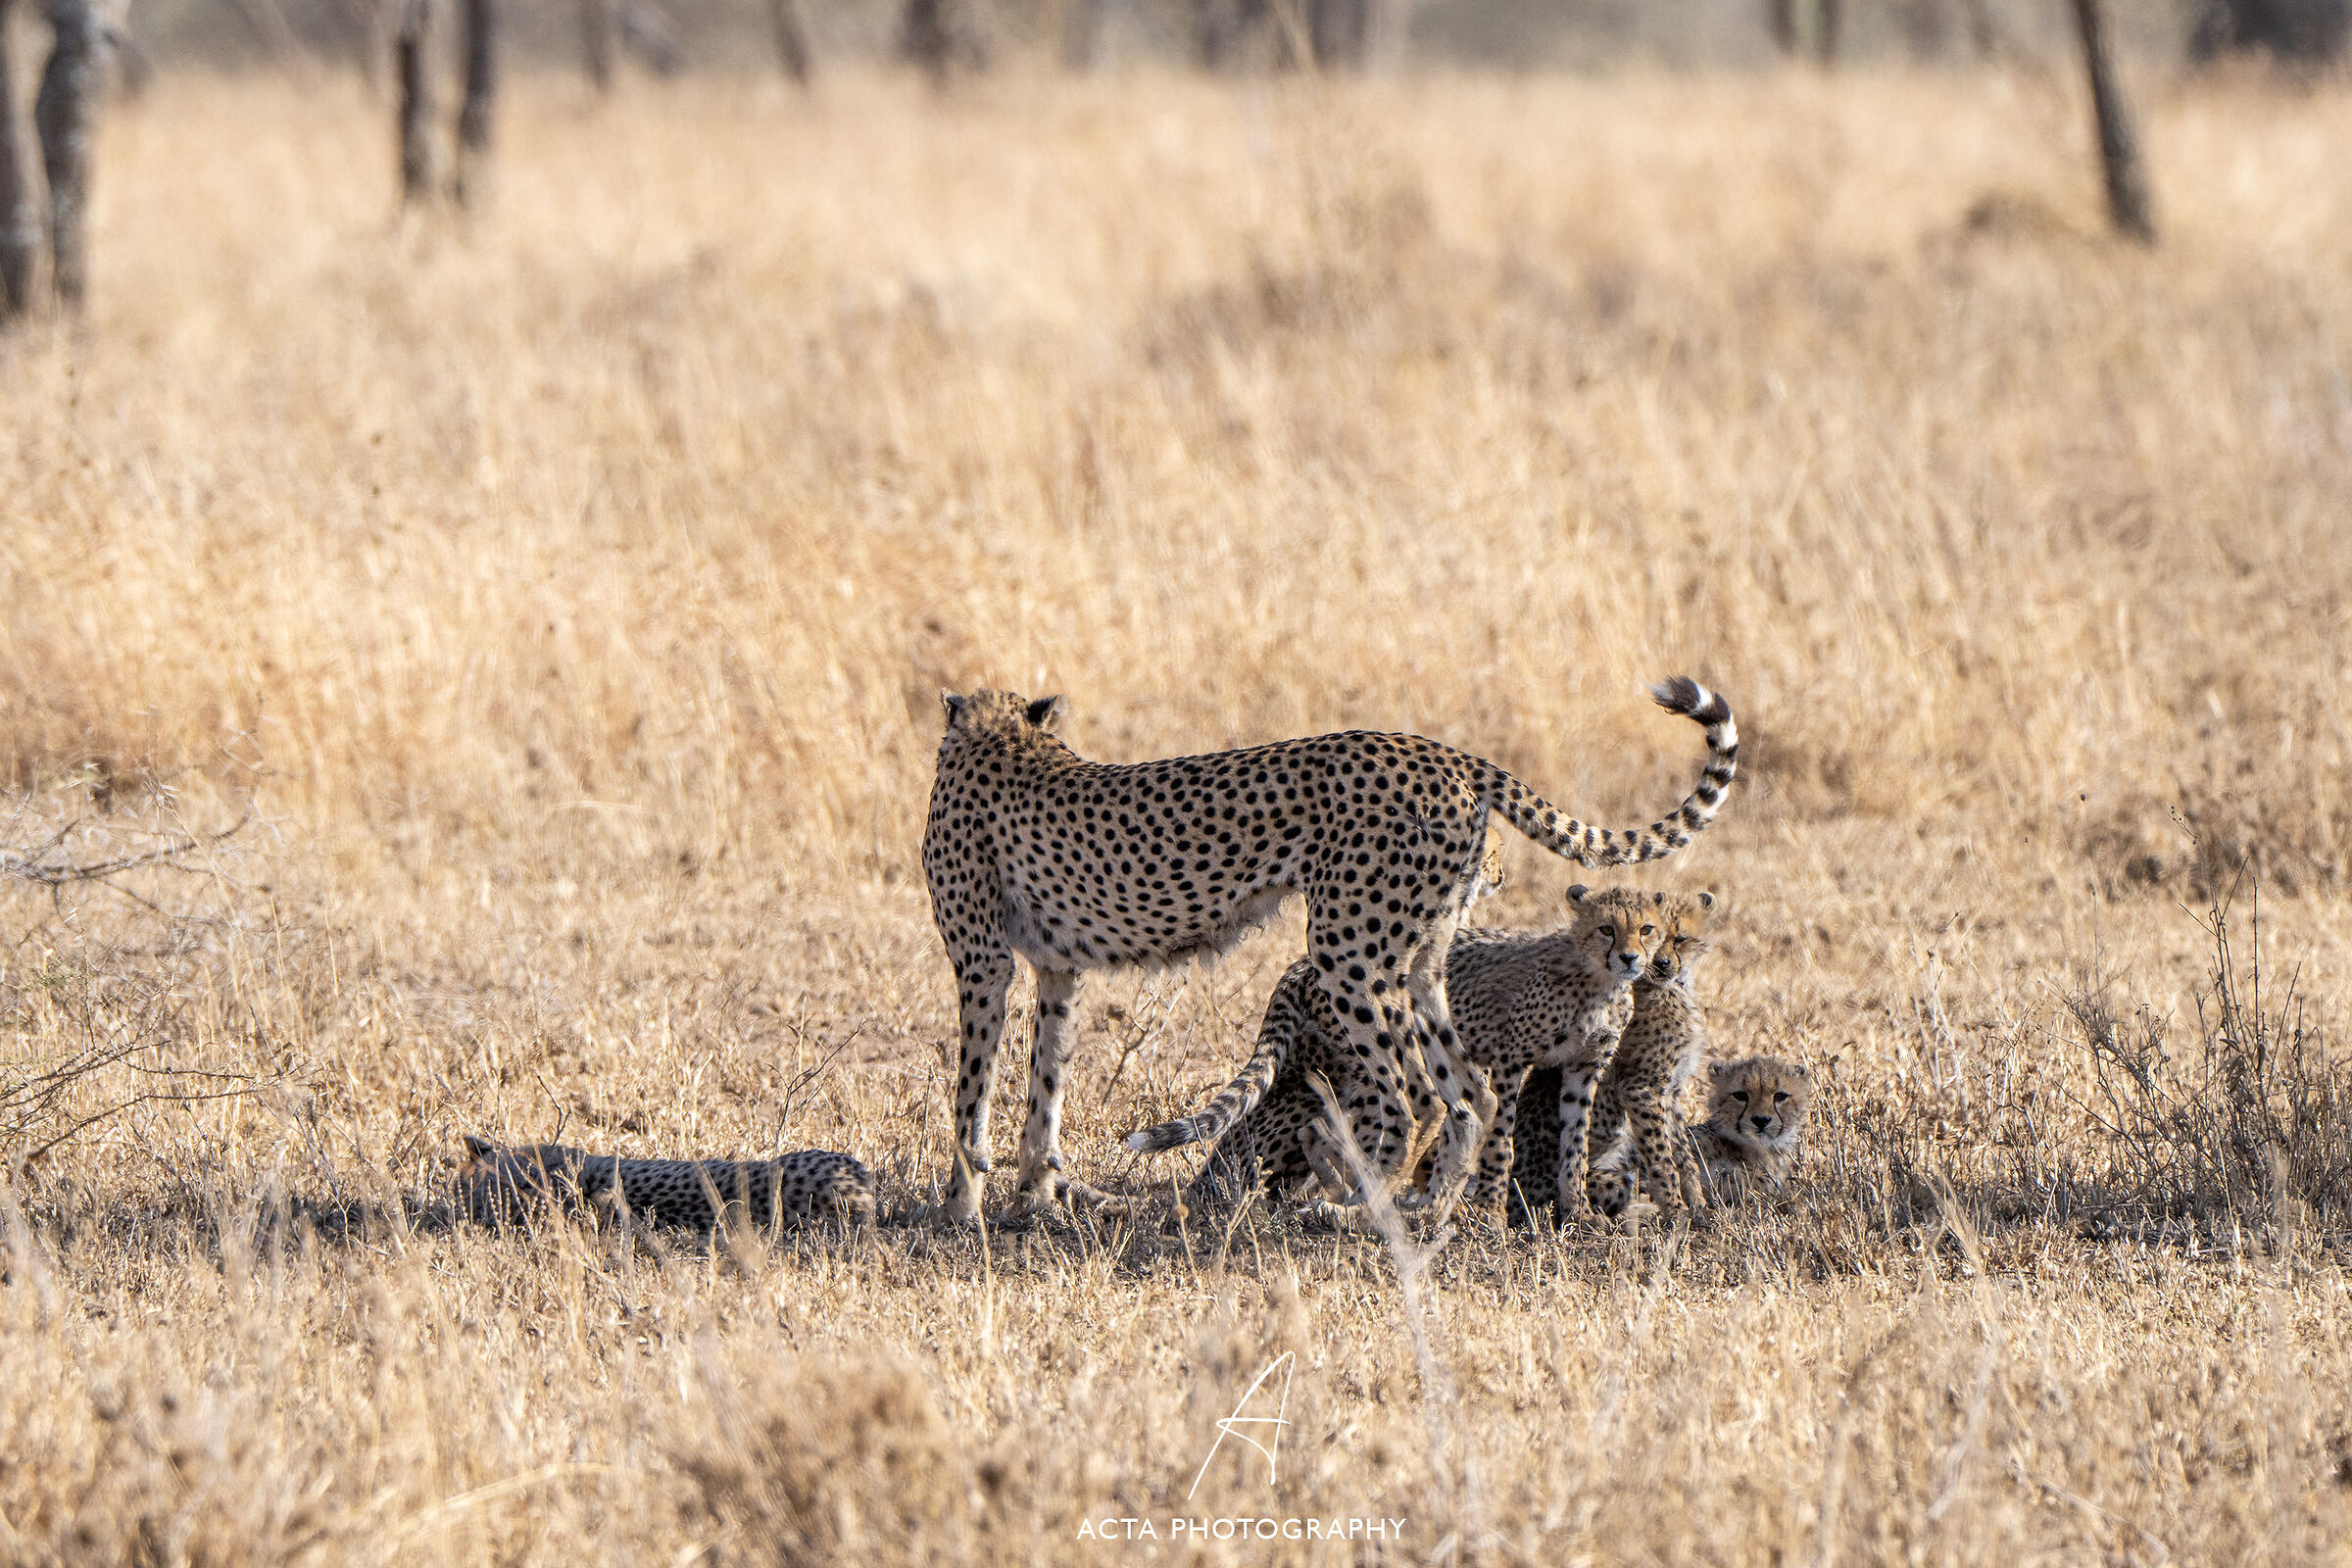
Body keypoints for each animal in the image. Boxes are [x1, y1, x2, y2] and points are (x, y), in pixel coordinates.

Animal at [1133, 884, 1668, 1225]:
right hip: (1367, 1066)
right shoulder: (1509, 1060)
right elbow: (1501, 1140)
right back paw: (1355, 1200)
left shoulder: (1584, 1068)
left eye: (1647, 929)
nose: (1632, 958)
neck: (1596, 980)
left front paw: (1578, 1211)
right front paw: (1493, 1213)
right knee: (1333, 1128)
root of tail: (1303, 964)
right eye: (1606, 929)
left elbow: (1574, 1141)